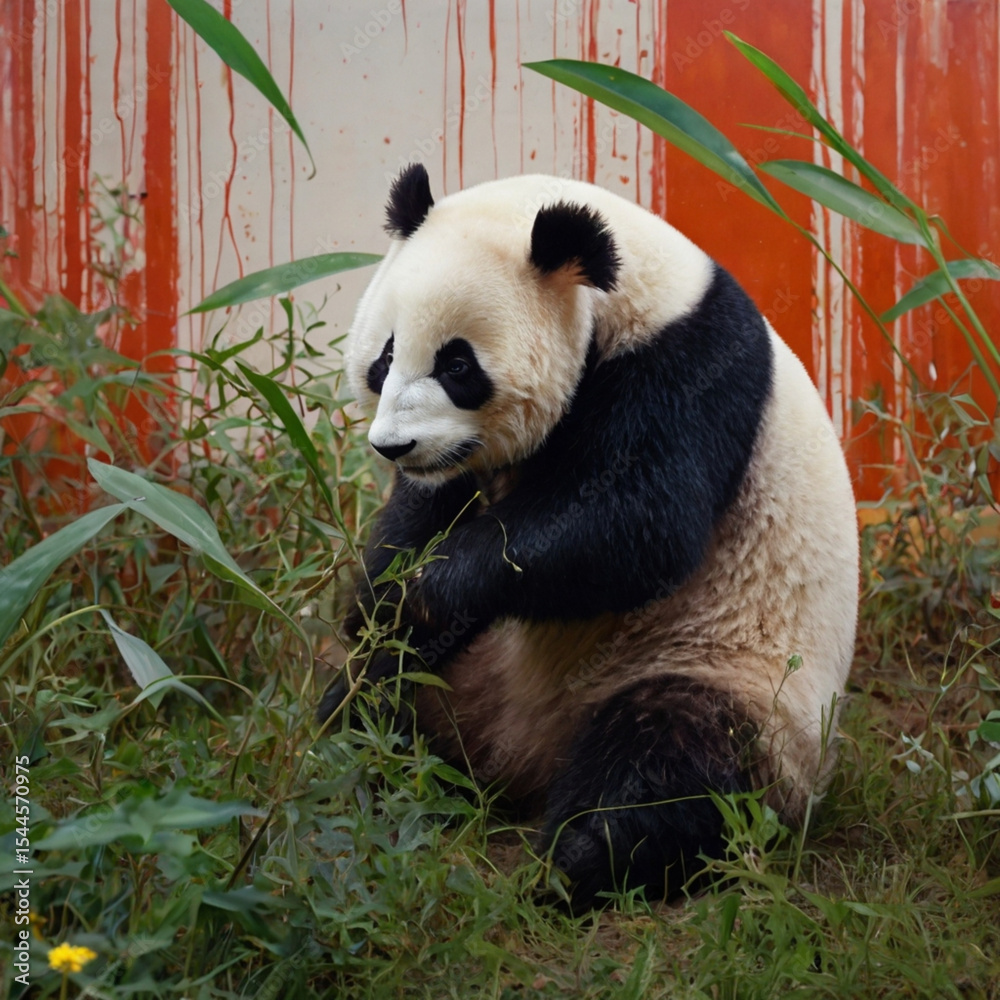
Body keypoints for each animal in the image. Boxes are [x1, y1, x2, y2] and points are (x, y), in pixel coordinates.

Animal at [320, 163, 859, 909]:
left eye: (458, 366)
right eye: (387, 354)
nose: (394, 446)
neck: (631, 293)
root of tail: (520, 756)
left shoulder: (690, 365)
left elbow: (636, 522)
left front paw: (426, 590)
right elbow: (428, 516)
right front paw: (380, 597)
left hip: (736, 679)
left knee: (667, 761)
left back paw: (571, 863)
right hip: (465, 669)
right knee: (374, 694)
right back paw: (350, 768)